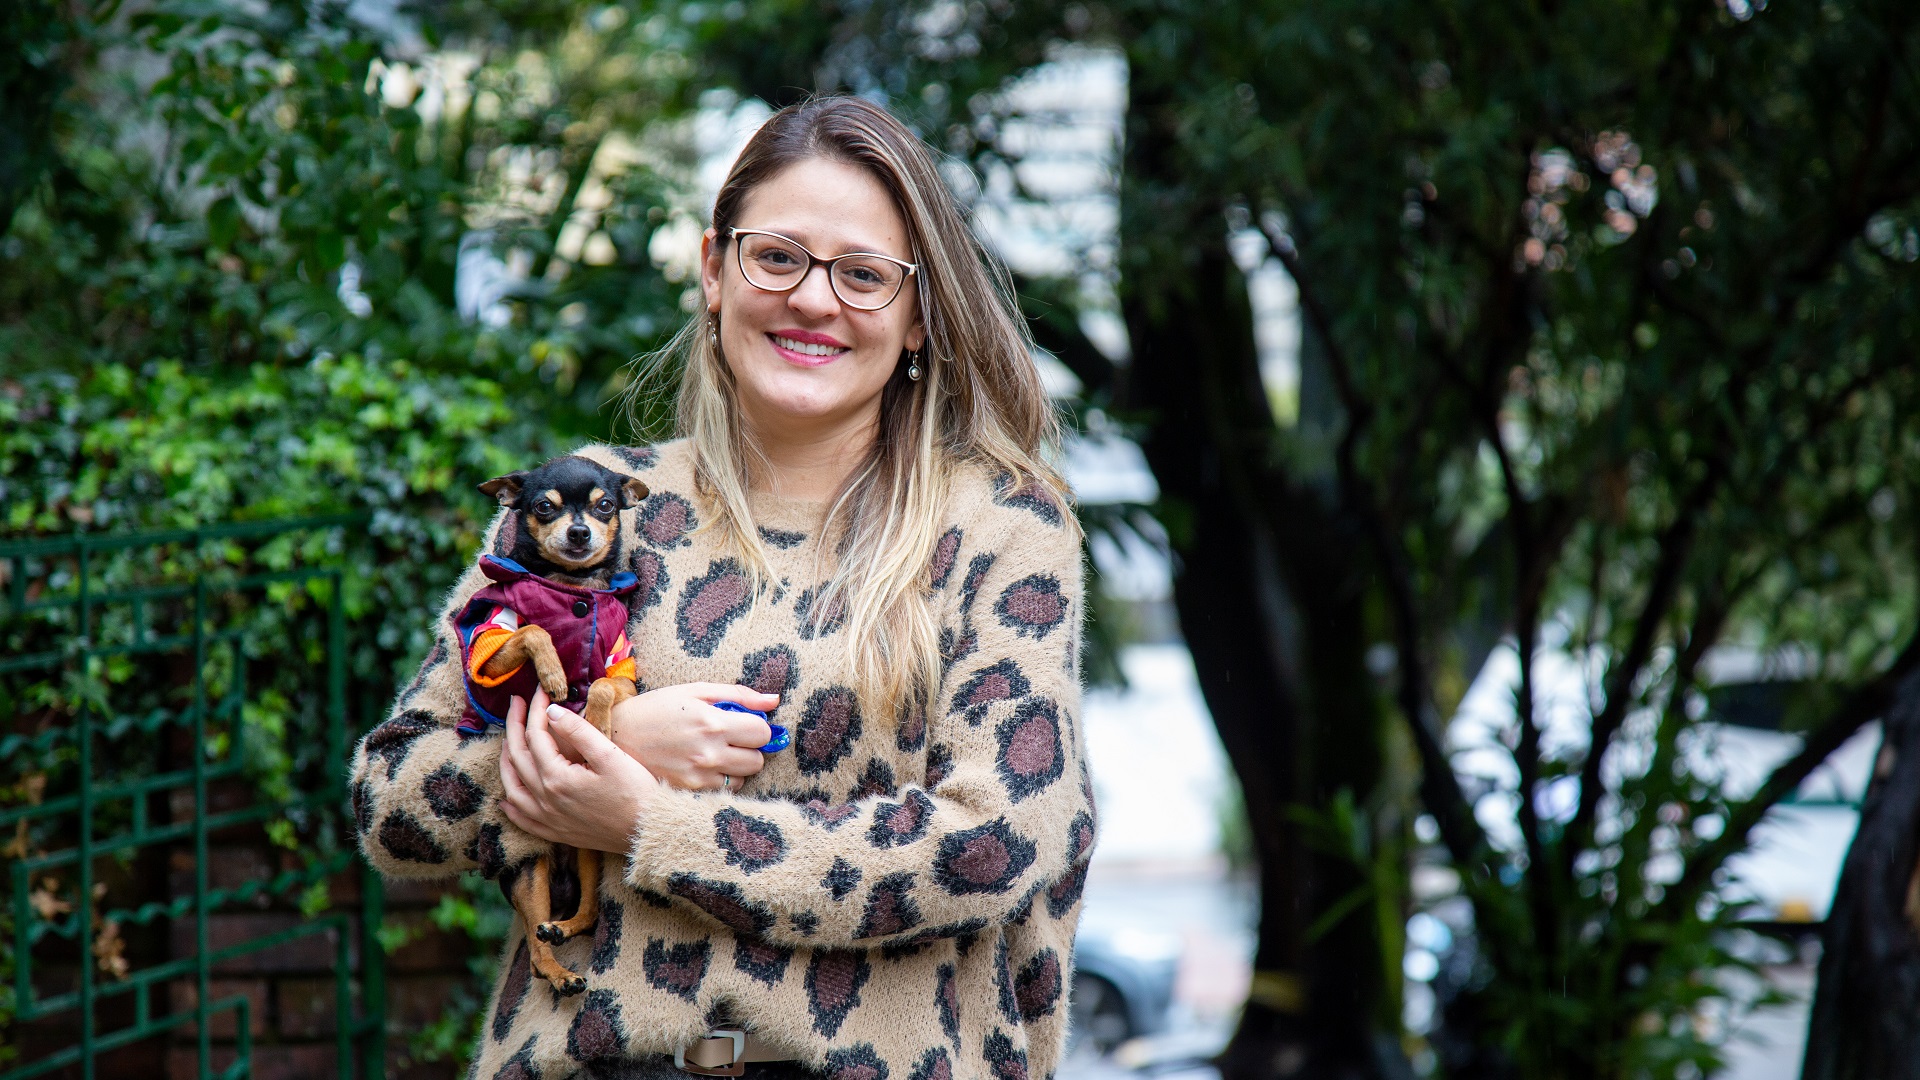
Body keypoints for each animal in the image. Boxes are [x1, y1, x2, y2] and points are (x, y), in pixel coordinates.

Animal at [453, 449, 648, 991]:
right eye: (543, 506)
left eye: (605, 506)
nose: (579, 532)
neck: (569, 587)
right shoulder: (492, 649)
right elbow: (535, 631)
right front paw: (555, 674)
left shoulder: (622, 672)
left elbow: (600, 685)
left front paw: (597, 722)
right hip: (530, 870)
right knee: (536, 944)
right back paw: (559, 972)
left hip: (588, 855)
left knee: (586, 912)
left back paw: (565, 931)